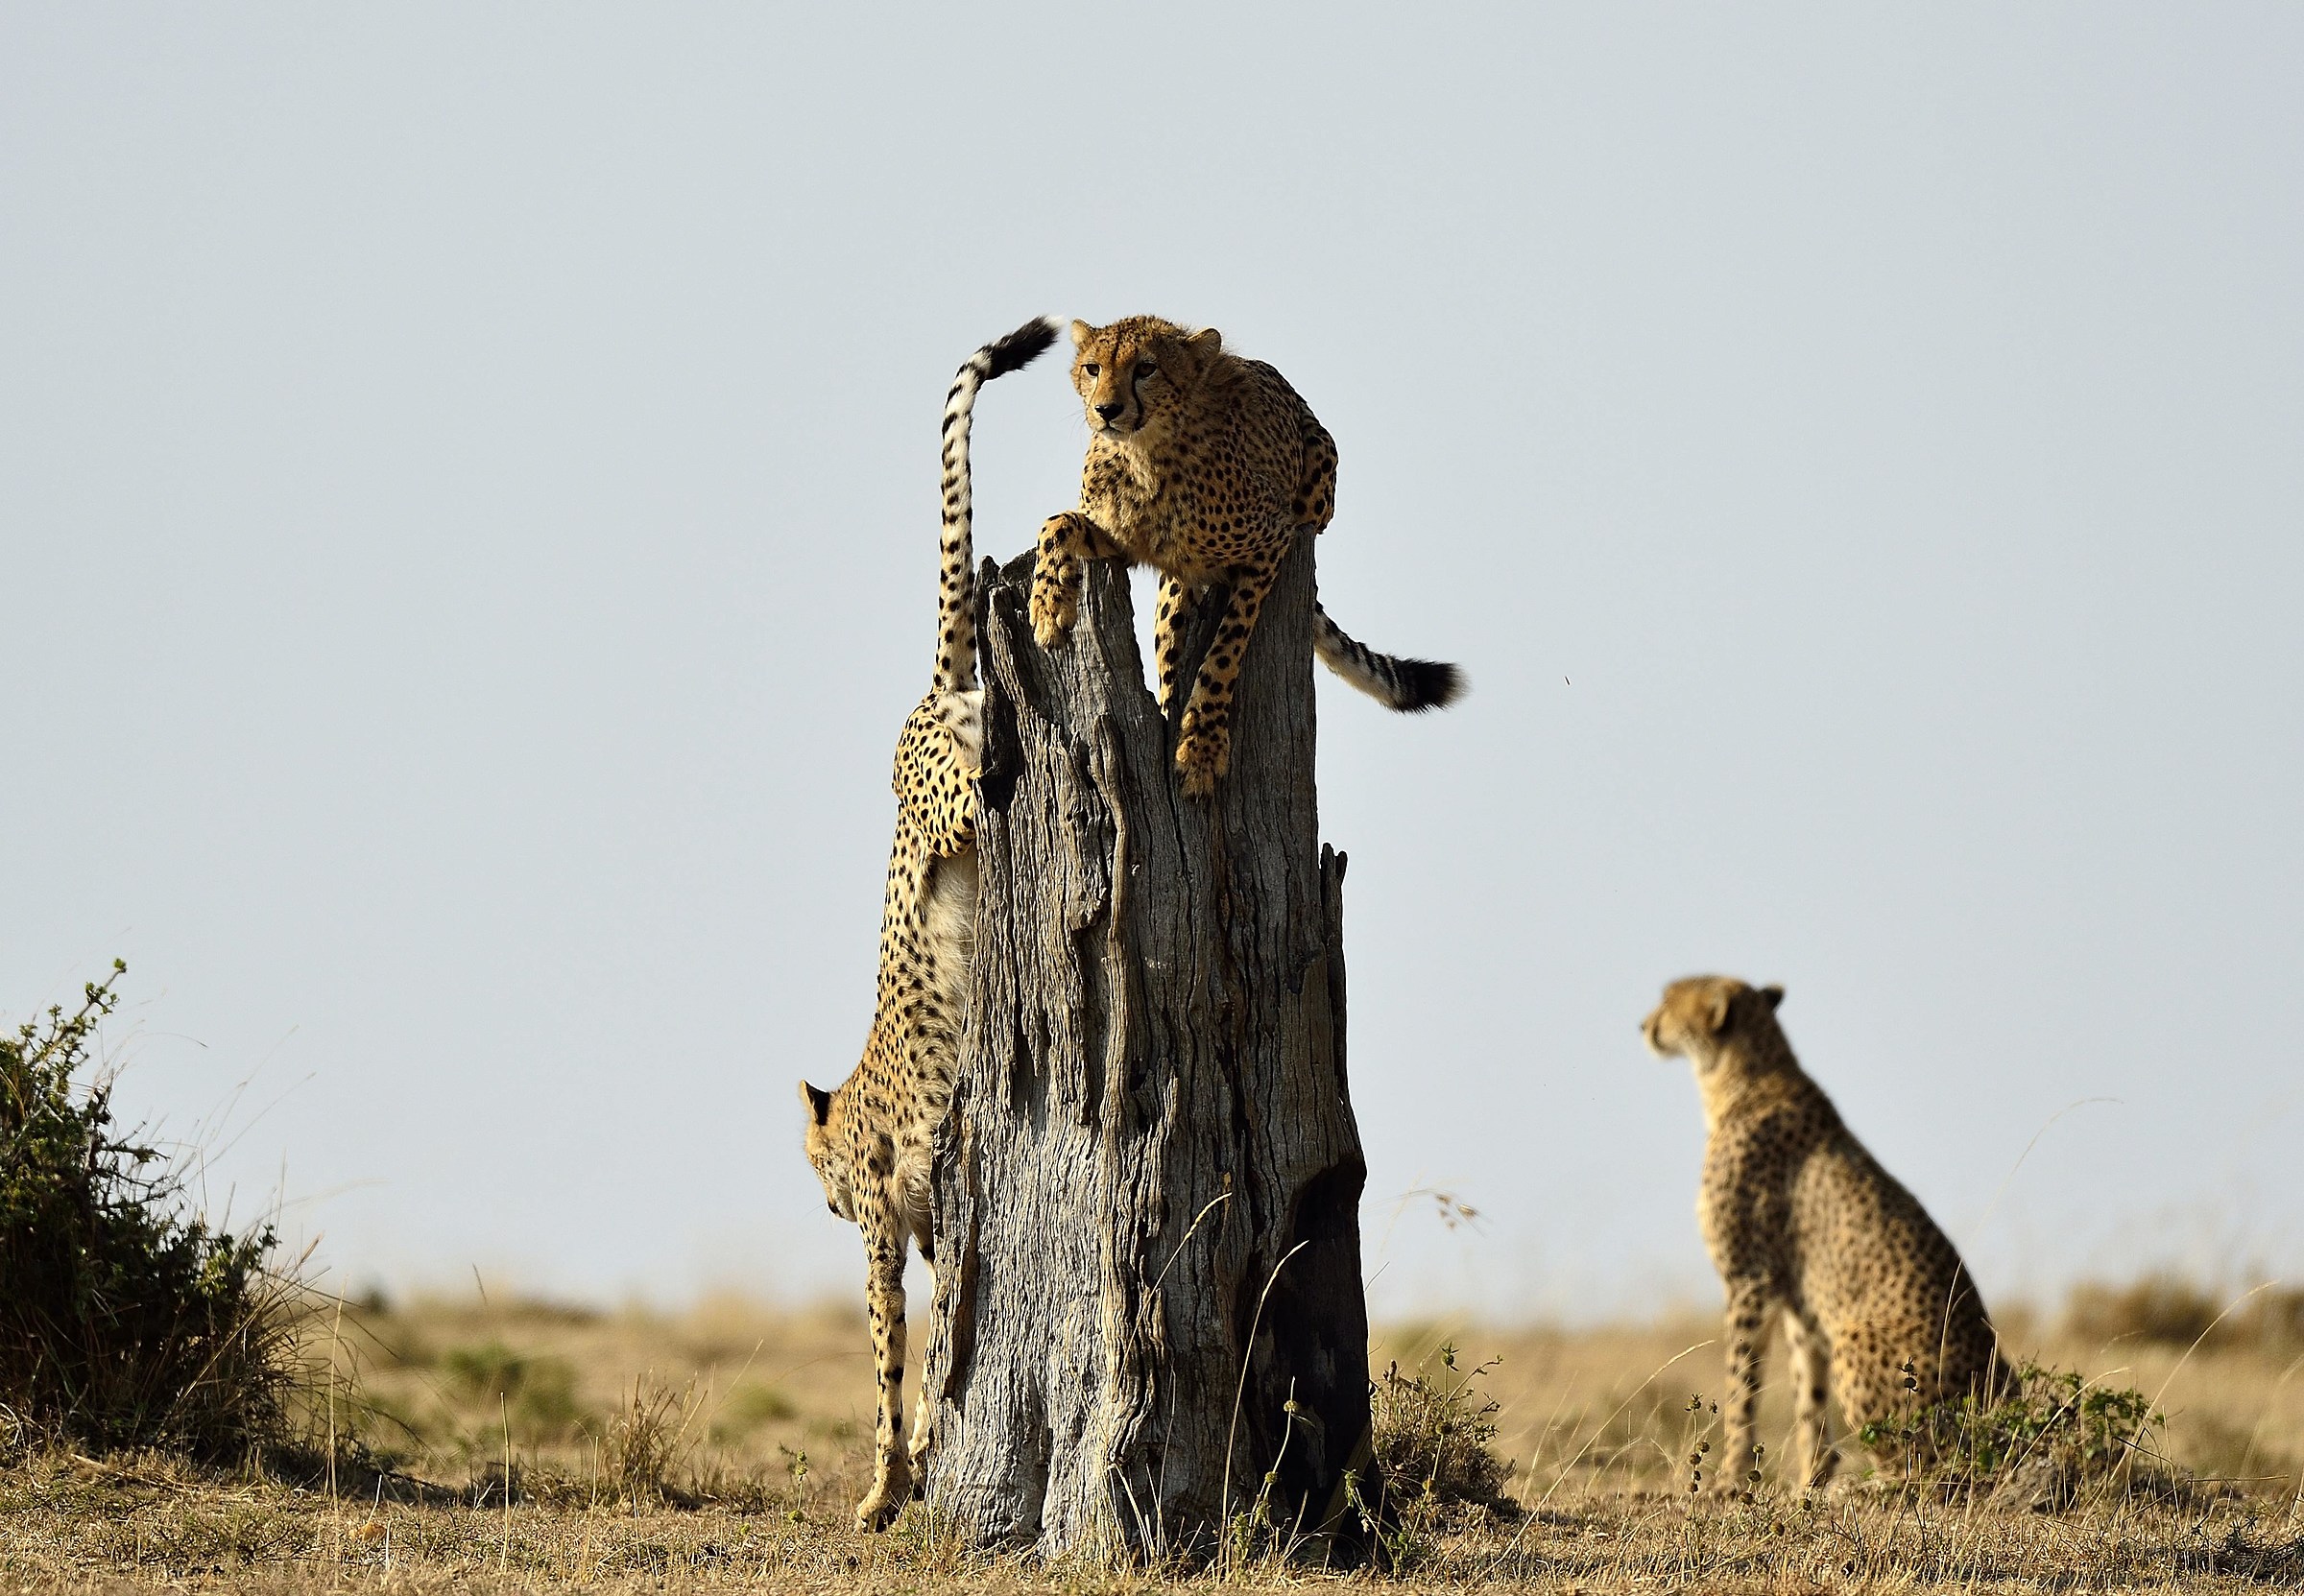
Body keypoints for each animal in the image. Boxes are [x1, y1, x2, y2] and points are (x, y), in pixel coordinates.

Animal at [1027, 315, 1455, 792]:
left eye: (1146, 369)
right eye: (1093, 368)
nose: (1106, 410)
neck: (1146, 452)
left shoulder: (1272, 543)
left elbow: (1224, 652)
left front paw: (1201, 748)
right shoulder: (1122, 545)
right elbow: (1055, 524)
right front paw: (1048, 608)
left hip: (1318, 475)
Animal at [1649, 976, 2008, 1492]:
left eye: (1668, 999)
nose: (1645, 1025)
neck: (1741, 1079)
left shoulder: (1750, 1280)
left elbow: (1741, 1384)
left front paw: (1729, 1479)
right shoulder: (1799, 1307)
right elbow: (1808, 1398)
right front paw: (1809, 1481)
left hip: (1856, 1337)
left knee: (1923, 1469)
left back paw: (1866, 1486)